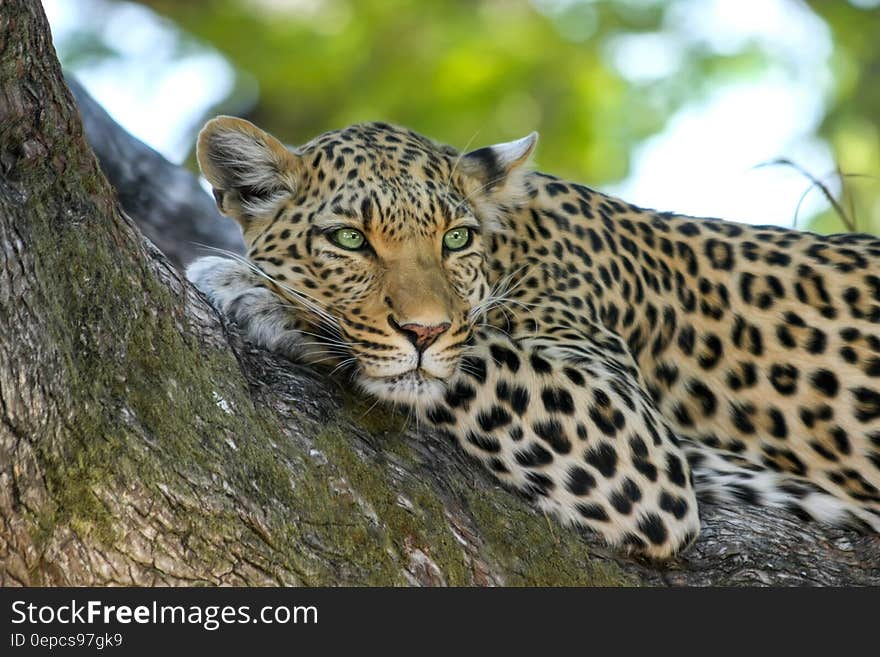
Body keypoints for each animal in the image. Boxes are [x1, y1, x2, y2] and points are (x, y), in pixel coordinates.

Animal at [186, 115, 880, 556]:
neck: (513, 245)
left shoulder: (632, 437)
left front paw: (255, 290)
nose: (423, 330)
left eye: (455, 239)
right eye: (350, 239)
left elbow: (474, 356)